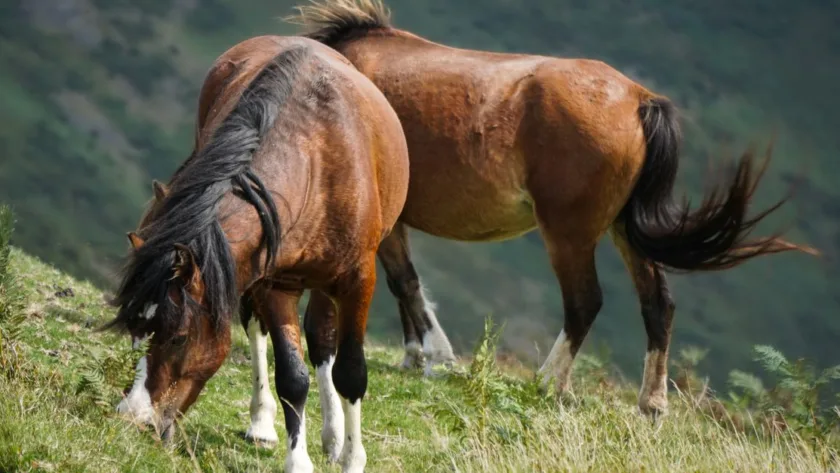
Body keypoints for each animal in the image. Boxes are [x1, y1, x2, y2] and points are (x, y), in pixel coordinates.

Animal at [105, 34, 409, 473]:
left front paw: (353, 458)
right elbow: (292, 377)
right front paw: (297, 460)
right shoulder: (273, 282)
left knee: (324, 342)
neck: (315, 162)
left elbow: (350, 372)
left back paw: (335, 437)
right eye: (134, 328)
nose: (133, 417)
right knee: (259, 330)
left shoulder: (358, 280)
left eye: (178, 338)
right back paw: (263, 424)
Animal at [287, 0, 818, 417]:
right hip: (623, 231)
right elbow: (402, 284)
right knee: (657, 304)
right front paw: (415, 355)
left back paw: (548, 383)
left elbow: (405, 282)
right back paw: (651, 403)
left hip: (569, 234)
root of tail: (638, 100)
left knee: (585, 302)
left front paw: (436, 357)